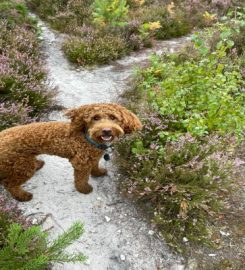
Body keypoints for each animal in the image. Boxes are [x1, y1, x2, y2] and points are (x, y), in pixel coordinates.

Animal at [0, 103, 142, 200]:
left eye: (113, 117)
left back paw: (38, 164)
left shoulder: (93, 157)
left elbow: (95, 166)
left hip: (22, 161)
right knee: (9, 184)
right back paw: (23, 196)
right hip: (23, 166)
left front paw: (98, 173)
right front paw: (84, 189)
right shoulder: (81, 163)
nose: (106, 130)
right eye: (95, 118)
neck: (88, 139)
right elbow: (81, 179)